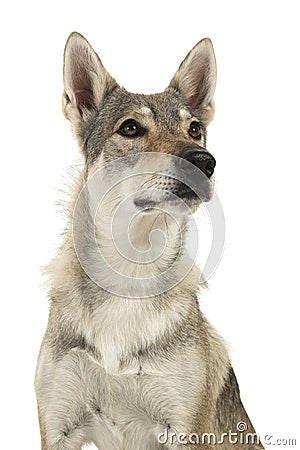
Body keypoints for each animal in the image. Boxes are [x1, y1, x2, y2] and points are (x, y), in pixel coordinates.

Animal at [34, 32, 262, 450]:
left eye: (194, 129)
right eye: (130, 129)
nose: (204, 161)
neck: (130, 269)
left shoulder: (186, 430)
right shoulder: (58, 429)